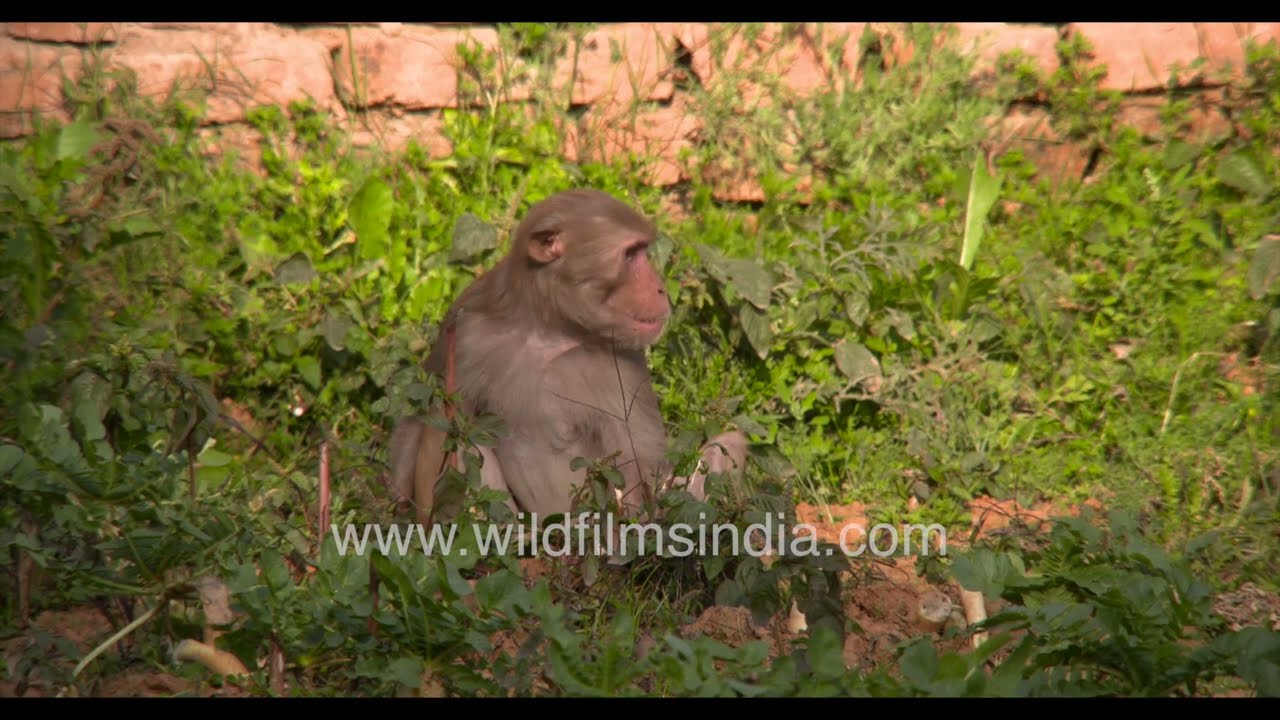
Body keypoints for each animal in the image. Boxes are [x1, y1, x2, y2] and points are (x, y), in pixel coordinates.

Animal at [389, 188, 747, 526]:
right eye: (631, 254)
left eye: (643, 251)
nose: (660, 288)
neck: (549, 329)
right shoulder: (464, 330)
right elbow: (424, 415)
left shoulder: (623, 361)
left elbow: (645, 471)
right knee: (462, 432)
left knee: (729, 441)